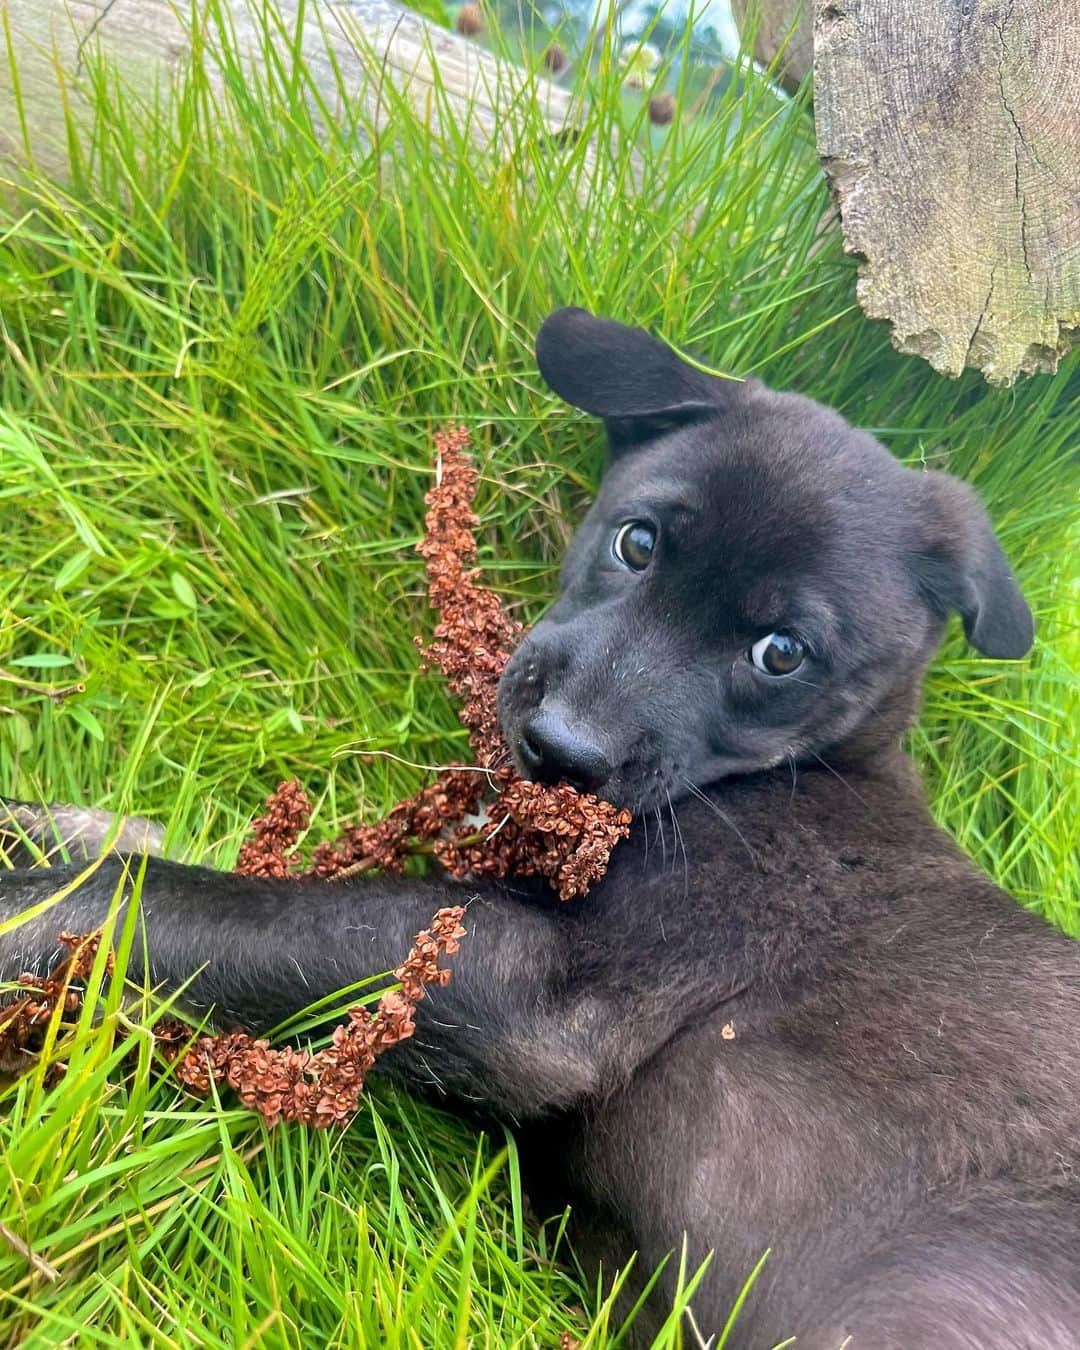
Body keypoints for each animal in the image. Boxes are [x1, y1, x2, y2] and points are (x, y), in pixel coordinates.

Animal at [2, 310, 1080, 1344]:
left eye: (783, 653)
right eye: (636, 543)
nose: (560, 750)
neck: (804, 770)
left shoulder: (545, 991)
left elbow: (170, 902)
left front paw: (25, 910)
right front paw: (43, 830)